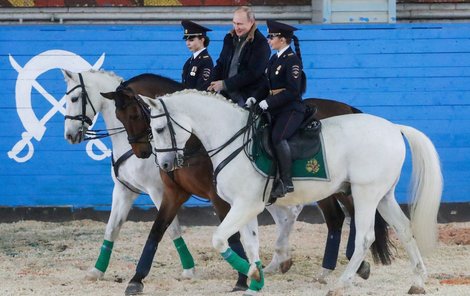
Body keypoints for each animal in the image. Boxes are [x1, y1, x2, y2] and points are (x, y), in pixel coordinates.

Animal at [61, 70, 302, 286]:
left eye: (74, 98)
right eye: (119, 116)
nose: (70, 135)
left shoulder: (176, 192)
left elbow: (183, 230)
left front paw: (212, 273)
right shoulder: (126, 190)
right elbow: (115, 228)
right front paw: (97, 271)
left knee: (289, 213)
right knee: (286, 215)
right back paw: (280, 261)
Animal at [102, 74, 392, 294]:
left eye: (136, 116)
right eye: (118, 115)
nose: (157, 161)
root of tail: (348, 108)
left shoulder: (223, 199)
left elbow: (228, 238)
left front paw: (244, 277)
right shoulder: (176, 194)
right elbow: (157, 231)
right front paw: (136, 280)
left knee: (344, 219)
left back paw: (345, 267)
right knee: (340, 217)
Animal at [142, 91, 440, 296]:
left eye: (159, 129)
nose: (165, 165)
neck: (232, 139)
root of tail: (393, 127)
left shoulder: (245, 205)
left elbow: (219, 240)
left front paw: (251, 274)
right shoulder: (245, 206)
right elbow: (250, 243)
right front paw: (256, 279)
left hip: (365, 193)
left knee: (365, 237)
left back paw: (341, 283)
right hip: (384, 195)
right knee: (404, 228)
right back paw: (418, 281)